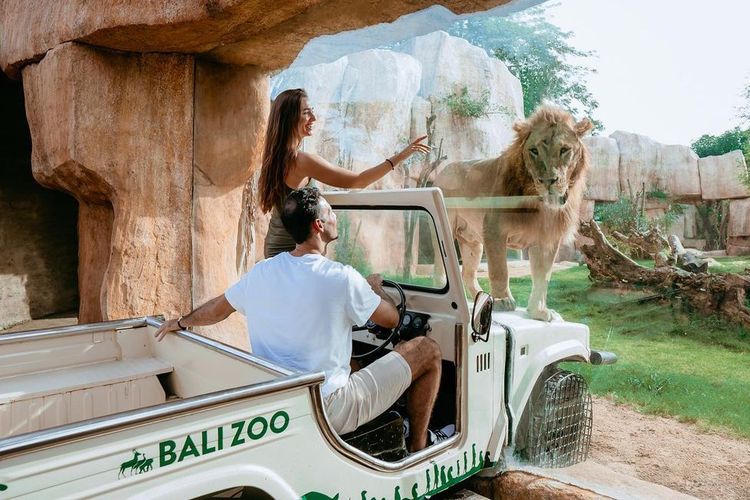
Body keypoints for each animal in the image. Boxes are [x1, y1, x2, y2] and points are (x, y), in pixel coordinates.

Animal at [434, 107, 592, 322]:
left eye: (564, 149)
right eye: (534, 151)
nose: (548, 181)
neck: (539, 204)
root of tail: (445, 169)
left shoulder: (547, 239)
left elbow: (543, 277)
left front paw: (538, 311)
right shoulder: (494, 228)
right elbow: (499, 269)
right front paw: (502, 301)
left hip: (472, 241)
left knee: (467, 273)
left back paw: (479, 300)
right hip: (447, 226)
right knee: (441, 265)